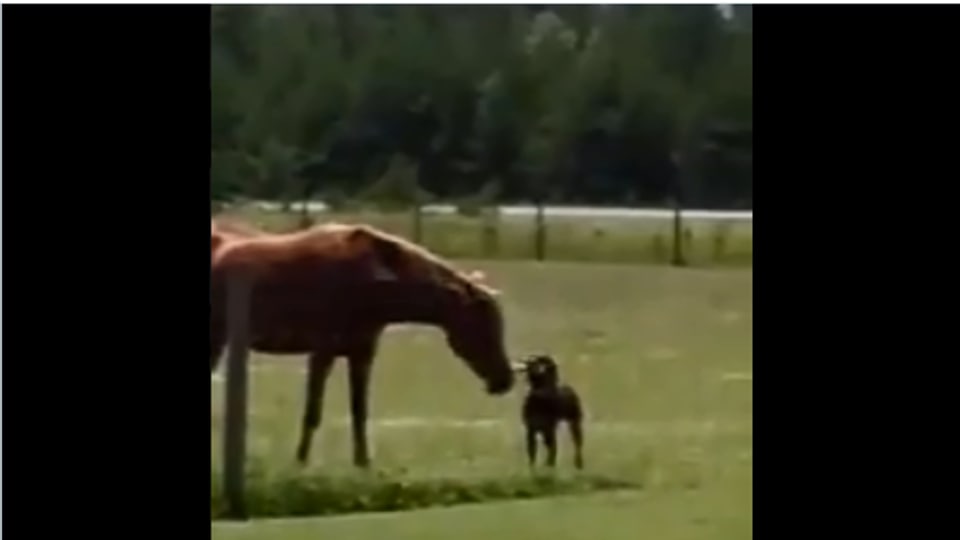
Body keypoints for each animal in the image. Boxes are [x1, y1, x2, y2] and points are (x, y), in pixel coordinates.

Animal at [211, 219, 516, 468]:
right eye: (482, 327)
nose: (505, 380)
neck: (368, 279)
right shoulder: (322, 352)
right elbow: (313, 412)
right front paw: (300, 462)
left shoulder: (362, 354)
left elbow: (360, 412)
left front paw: (363, 463)